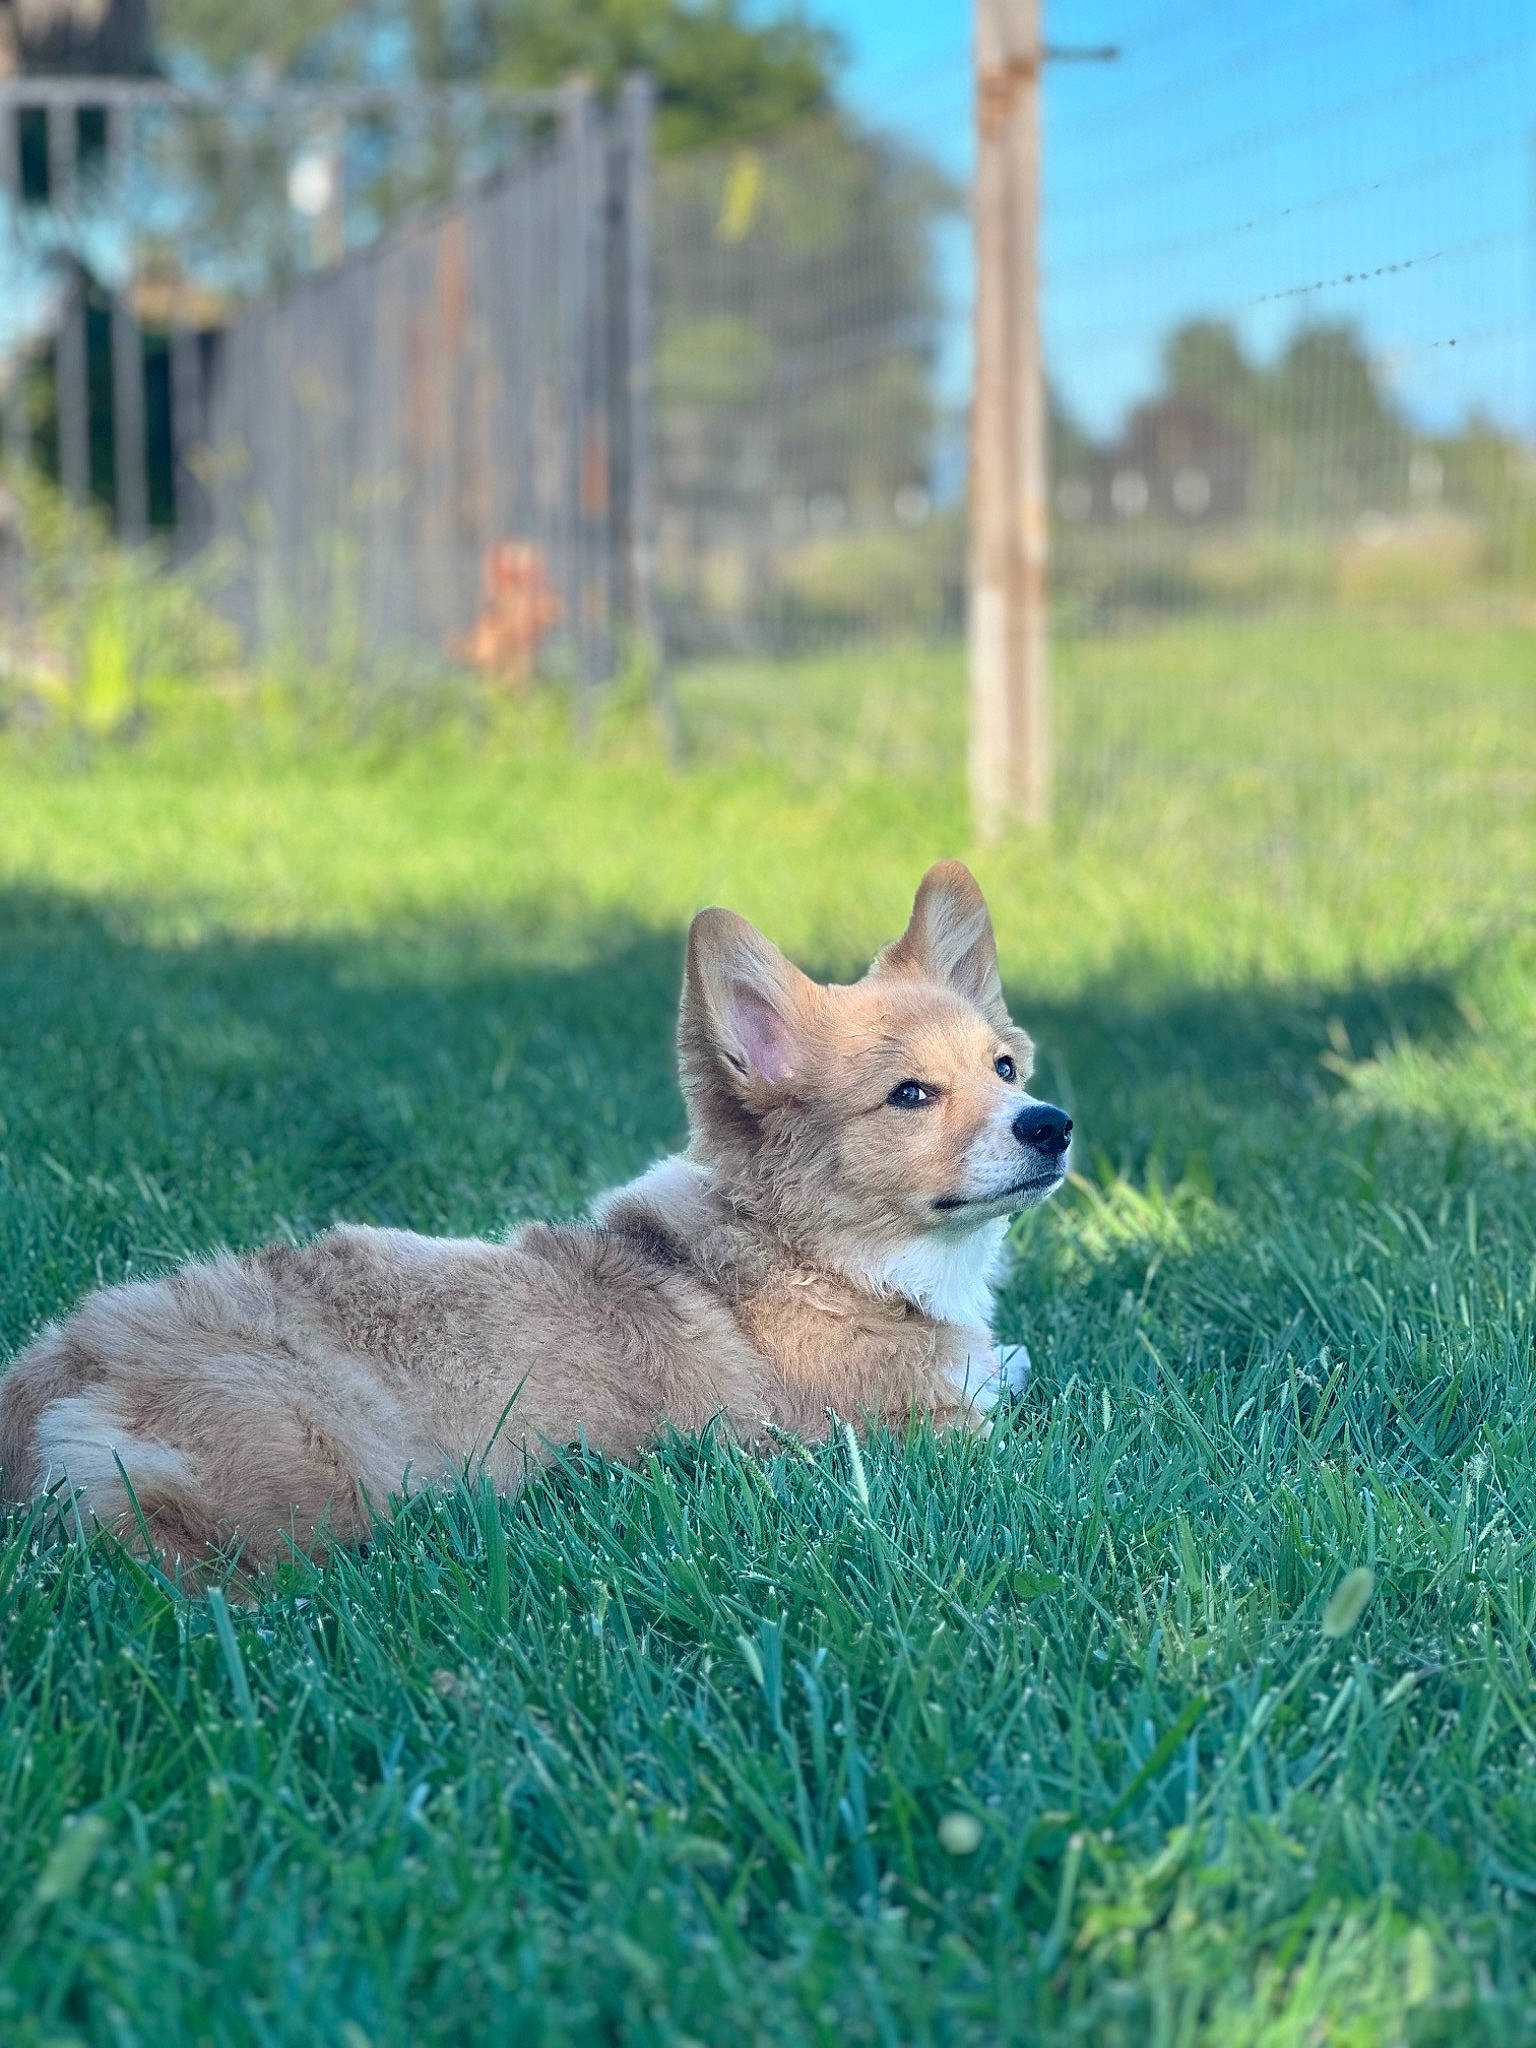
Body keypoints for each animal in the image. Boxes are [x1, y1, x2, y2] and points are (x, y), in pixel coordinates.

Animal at [0, 862, 1072, 1574]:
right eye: (909, 1096)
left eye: (1005, 1069)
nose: (1052, 1126)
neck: (828, 1255)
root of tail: (53, 1381)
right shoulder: (905, 1438)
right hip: (324, 1468)